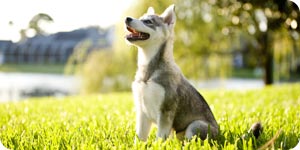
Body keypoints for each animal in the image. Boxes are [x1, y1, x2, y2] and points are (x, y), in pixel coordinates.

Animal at [124, 4, 218, 141]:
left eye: (148, 21)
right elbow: (140, 137)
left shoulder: (165, 111)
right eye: (140, 18)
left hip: (195, 126)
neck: (149, 71)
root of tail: (220, 133)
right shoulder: (142, 111)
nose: (127, 18)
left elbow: (160, 138)